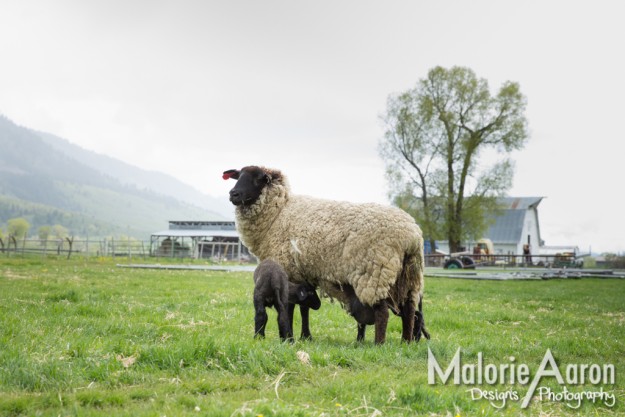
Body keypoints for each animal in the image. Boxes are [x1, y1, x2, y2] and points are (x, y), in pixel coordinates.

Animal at [223, 164, 428, 342]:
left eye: (260, 179)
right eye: (238, 175)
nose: (233, 194)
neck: (278, 213)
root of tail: (412, 234)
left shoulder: (288, 270)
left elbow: (290, 307)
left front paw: (291, 335)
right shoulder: (303, 275)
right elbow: (304, 307)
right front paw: (305, 336)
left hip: (375, 274)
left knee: (383, 312)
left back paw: (380, 343)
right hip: (407, 278)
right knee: (410, 311)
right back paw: (406, 342)